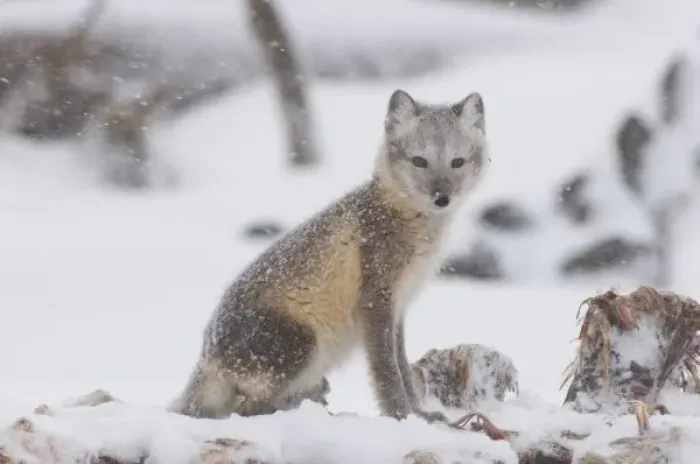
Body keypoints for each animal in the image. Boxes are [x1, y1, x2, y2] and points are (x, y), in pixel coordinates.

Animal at [170, 89, 489, 424]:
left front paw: (421, 415)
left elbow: (402, 367)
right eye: (419, 161)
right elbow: (388, 373)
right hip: (302, 344)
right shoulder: (376, 303)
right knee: (249, 410)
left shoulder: (400, 308)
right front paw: (402, 417)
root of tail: (206, 356)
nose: (442, 198)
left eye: (457, 162)